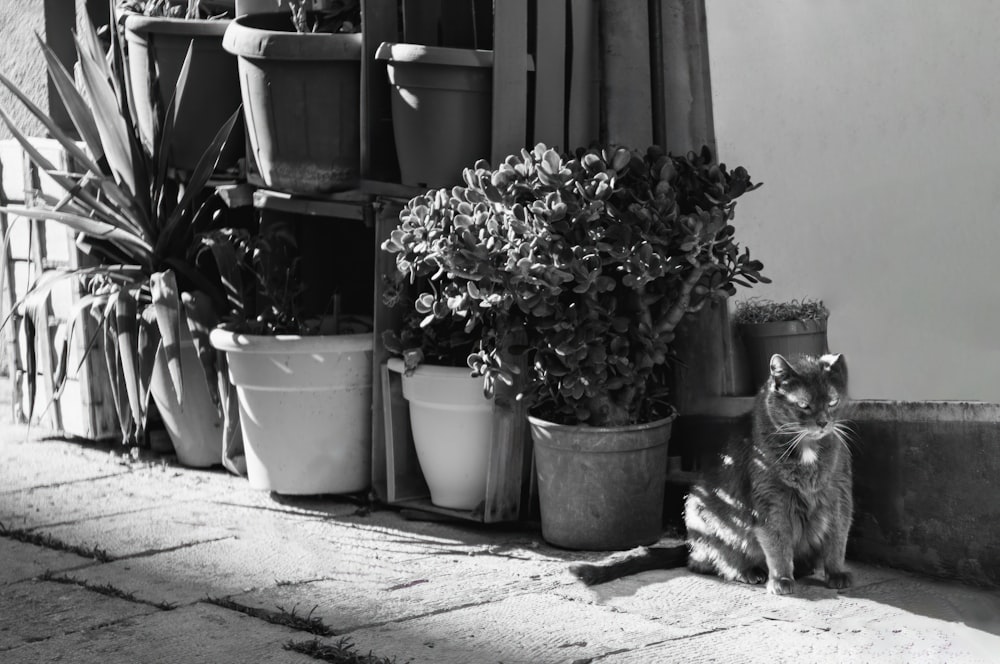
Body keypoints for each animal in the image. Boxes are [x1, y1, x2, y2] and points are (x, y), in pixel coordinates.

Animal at [572, 352, 852, 596]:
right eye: (803, 405)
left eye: (833, 402)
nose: (823, 422)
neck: (807, 452)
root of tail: (689, 543)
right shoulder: (771, 499)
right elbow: (777, 540)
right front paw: (781, 579)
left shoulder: (839, 492)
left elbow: (838, 536)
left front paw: (836, 573)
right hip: (703, 512)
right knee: (704, 563)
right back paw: (750, 572)